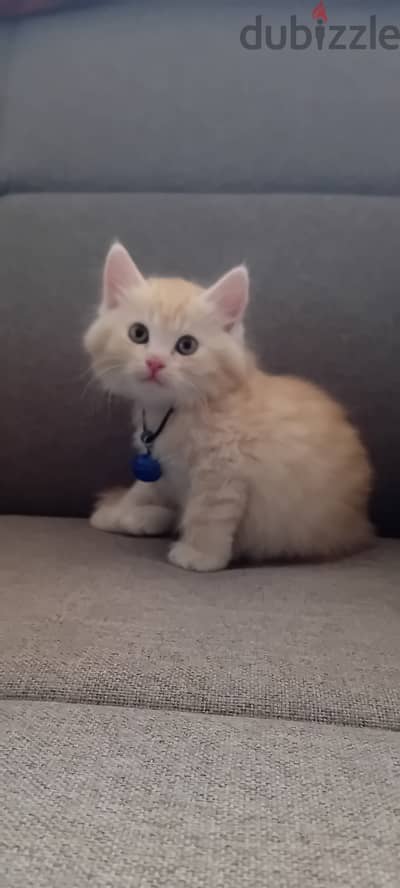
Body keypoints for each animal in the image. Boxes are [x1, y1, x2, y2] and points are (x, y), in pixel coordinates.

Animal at [85, 239, 376, 572]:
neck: (175, 412)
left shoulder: (224, 468)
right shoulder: (163, 463)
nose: (155, 362)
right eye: (138, 333)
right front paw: (118, 511)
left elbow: (208, 513)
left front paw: (199, 554)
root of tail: (363, 524)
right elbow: (144, 486)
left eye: (187, 346)